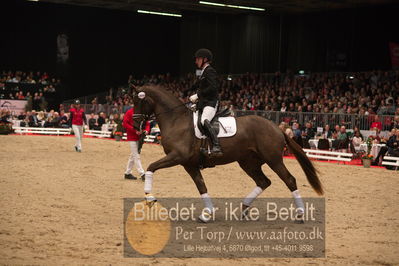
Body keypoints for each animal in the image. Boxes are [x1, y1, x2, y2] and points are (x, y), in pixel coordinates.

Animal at [133, 85, 324, 222]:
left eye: (139, 102)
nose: (135, 126)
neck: (176, 120)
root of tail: (276, 127)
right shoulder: (189, 164)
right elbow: (201, 186)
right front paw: (207, 213)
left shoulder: (178, 157)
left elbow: (151, 166)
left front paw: (149, 197)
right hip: (248, 162)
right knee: (263, 181)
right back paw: (244, 208)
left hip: (274, 160)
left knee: (289, 180)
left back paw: (300, 214)